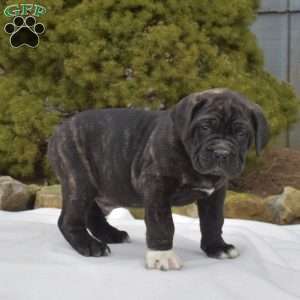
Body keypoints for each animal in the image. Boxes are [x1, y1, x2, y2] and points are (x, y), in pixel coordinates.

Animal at [47, 88, 270, 270]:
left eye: (241, 133)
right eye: (205, 127)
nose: (221, 152)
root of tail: (58, 130)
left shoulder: (214, 194)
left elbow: (213, 221)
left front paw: (217, 247)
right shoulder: (157, 187)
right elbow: (162, 223)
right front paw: (162, 256)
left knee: (92, 213)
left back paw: (111, 234)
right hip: (79, 182)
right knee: (68, 219)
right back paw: (89, 245)